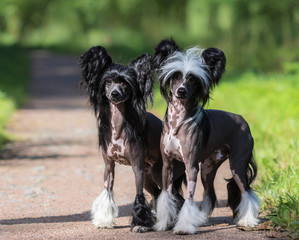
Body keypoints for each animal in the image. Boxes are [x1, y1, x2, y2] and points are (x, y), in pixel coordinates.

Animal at [79, 45, 188, 232]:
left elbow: (138, 197)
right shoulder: (109, 166)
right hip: (149, 177)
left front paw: (139, 225)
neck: (118, 126)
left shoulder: (137, 167)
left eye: (124, 82)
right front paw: (104, 220)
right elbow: (108, 192)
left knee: (175, 198)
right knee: (158, 194)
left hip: (161, 174)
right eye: (108, 81)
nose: (114, 94)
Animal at [154, 39, 262, 234]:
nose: (181, 91)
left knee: (246, 193)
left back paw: (248, 220)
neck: (177, 123)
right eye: (175, 76)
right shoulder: (167, 165)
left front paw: (184, 227)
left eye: (192, 78)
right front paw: (163, 223)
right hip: (208, 167)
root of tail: (242, 119)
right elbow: (166, 196)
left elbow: (189, 200)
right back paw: (202, 219)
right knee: (210, 194)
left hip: (237, 165)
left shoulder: (191, 167)